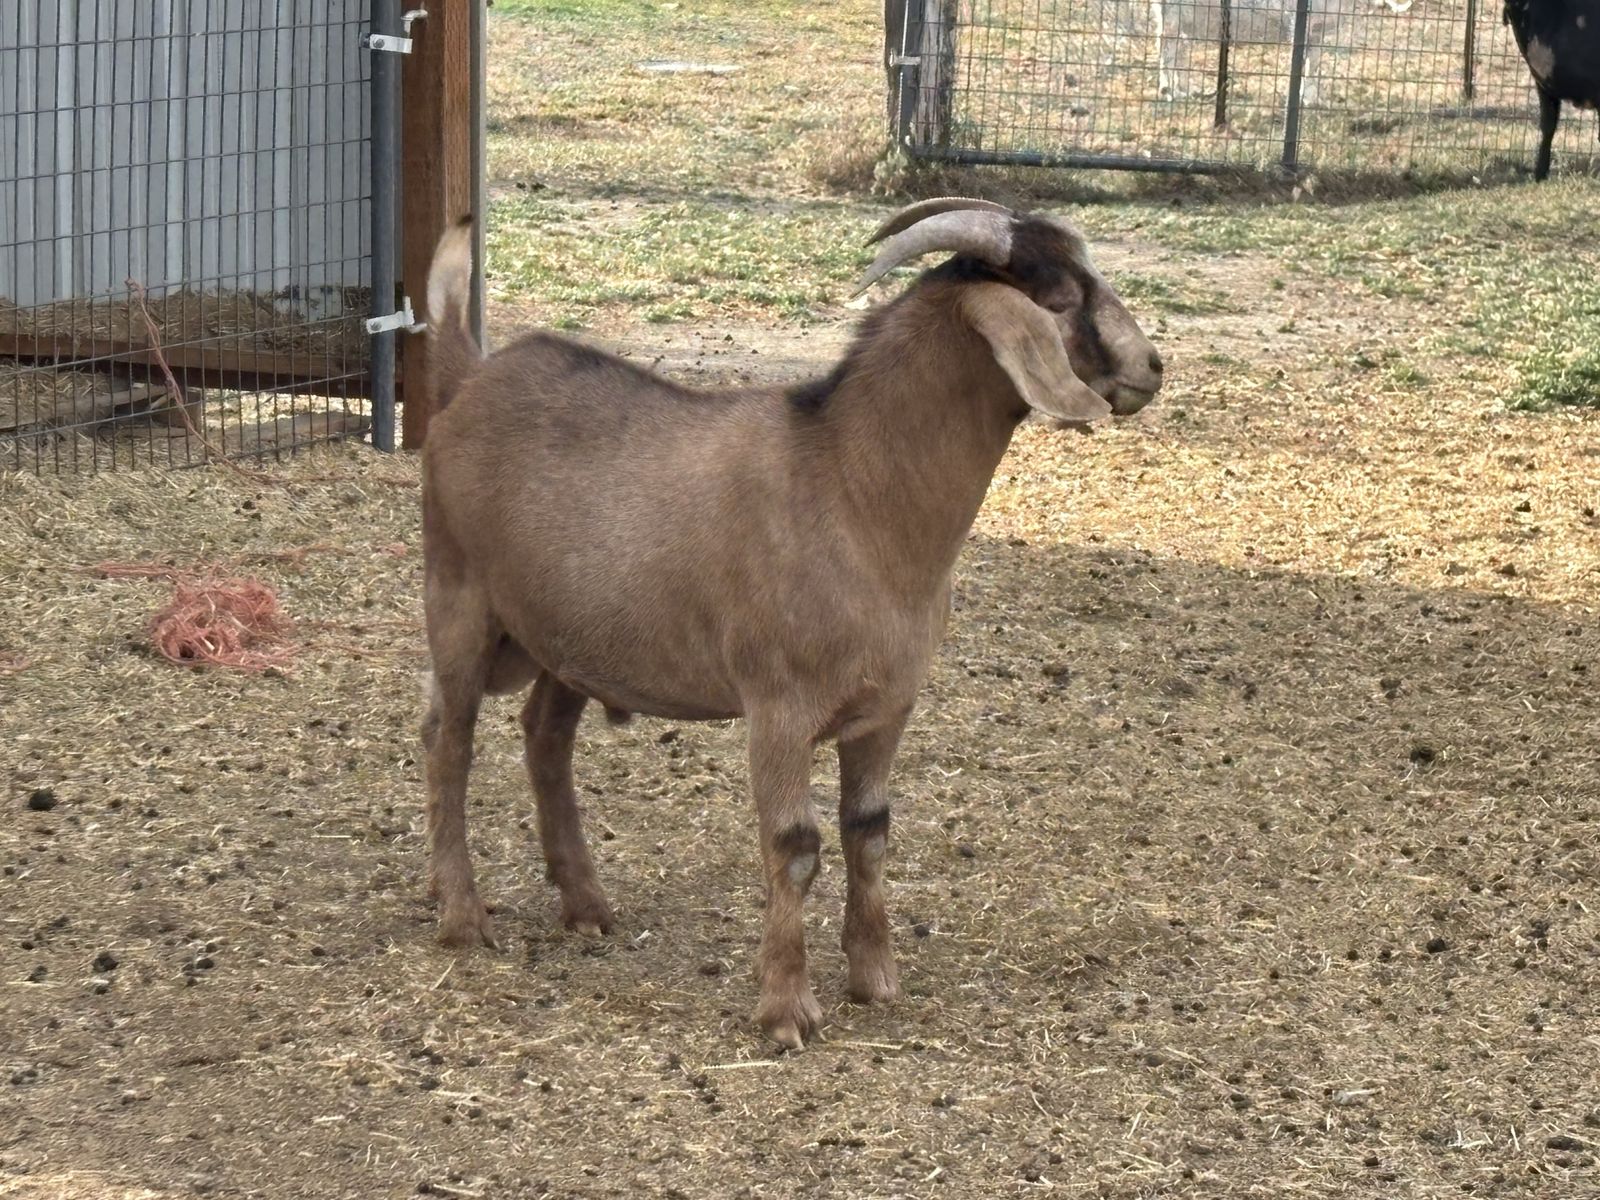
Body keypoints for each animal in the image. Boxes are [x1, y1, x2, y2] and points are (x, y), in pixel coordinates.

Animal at [418, 198, 1164, 1048]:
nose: (1151, 368)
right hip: (457, 599)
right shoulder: (778, 708)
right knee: (448, 742)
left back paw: (587, 906)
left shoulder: (886, 710)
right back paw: (463, 918)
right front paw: (785, 1010)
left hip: (567, 638)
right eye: (1062, 297)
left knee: (545, 735)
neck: (851, 492)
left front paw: (876, 979)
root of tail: (467, 376)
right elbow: (794, 844)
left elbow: (869, 831)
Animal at [1153, 0, 1412, 105]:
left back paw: (1184, 91)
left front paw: (1313, 100)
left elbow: (1313, 67)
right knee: (1166, 46)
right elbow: (1302, 63)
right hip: (1175, 17)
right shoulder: (1297, 24)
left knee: (1177, 50)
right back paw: (1168, 91)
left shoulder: (1317, 33)